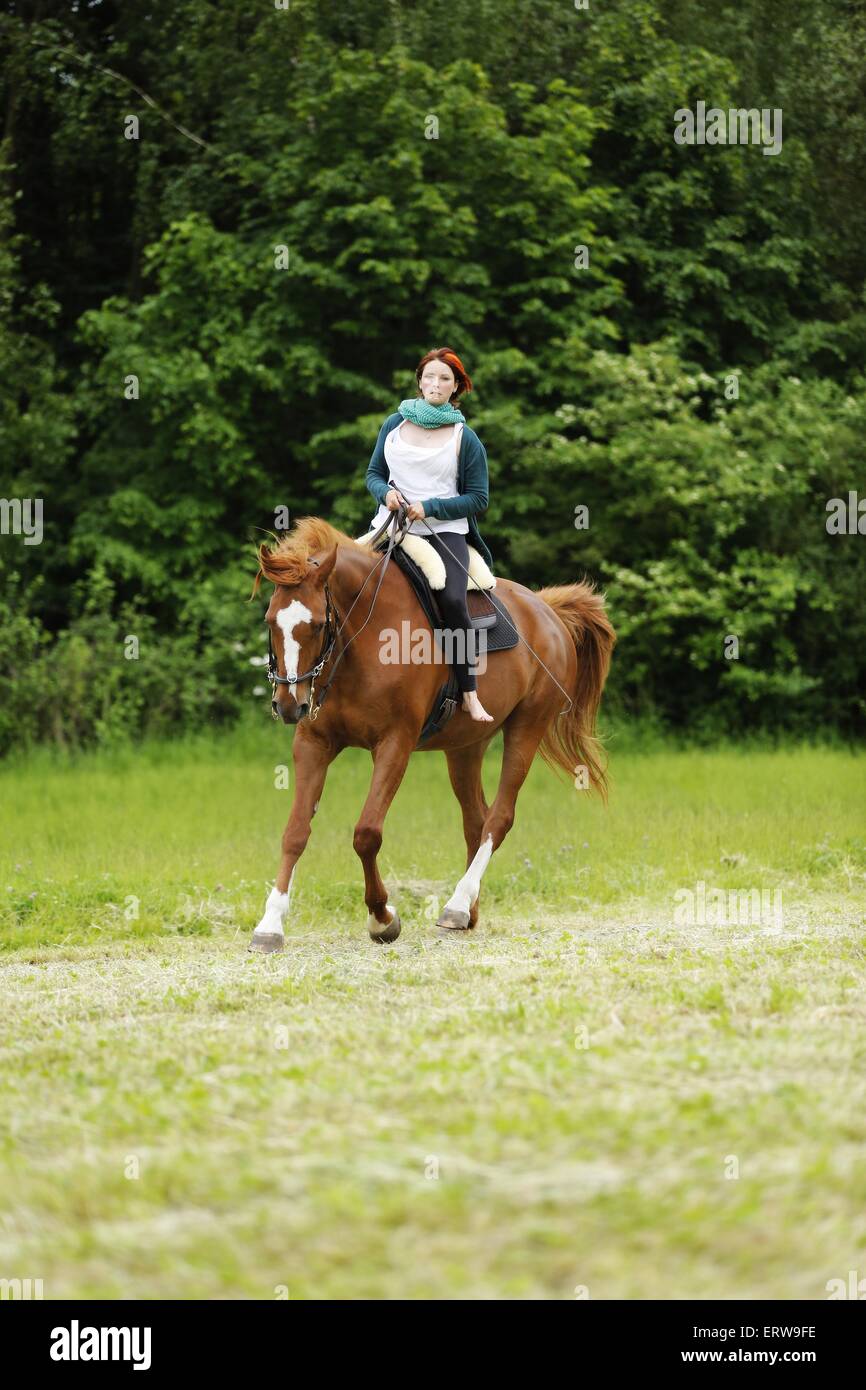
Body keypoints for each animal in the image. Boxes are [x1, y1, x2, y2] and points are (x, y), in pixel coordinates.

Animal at [248, 517, 617, 950]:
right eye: (270, 621)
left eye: (319, 624)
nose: (290, 705)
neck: (362, 636)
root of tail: (546, 609)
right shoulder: (314, 744)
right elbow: (295, 832)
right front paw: (270, 925)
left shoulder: (395, 743)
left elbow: (366, 833)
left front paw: (382, 918)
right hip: (465, 748)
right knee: (476, 821)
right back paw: (469, 911)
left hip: (527, 727)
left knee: (499, 818)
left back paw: (456, 905)